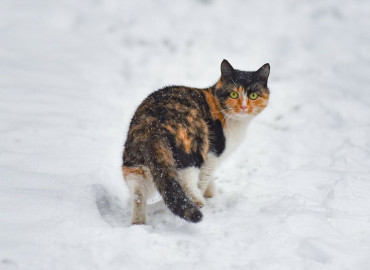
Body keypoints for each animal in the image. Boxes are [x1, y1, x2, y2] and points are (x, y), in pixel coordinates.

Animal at [121, 60, 268, 225]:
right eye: (233, 94)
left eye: (253, 95)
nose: (243, 106)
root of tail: (152, 124)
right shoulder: (212, 154)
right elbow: (205, 177)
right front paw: (207, 195)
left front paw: (211, 193)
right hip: (193, 147)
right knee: (186, 180)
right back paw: (197, 201)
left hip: (134, 162)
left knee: (138, 193)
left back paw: (139, 223)